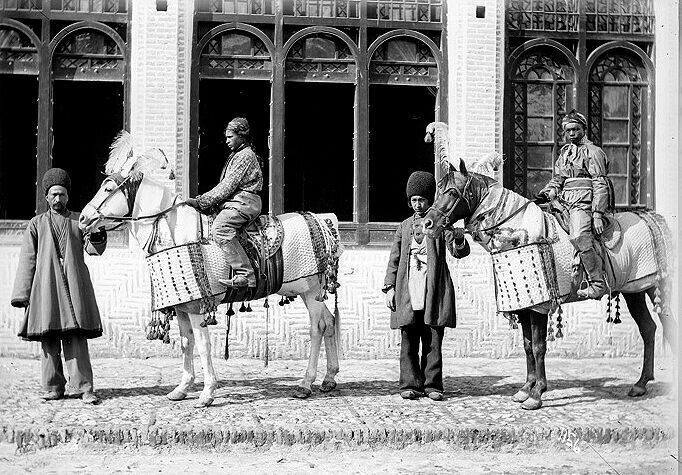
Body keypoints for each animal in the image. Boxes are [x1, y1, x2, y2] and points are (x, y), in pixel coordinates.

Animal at [79, 137, 340, 406]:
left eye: (108, 189)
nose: (83, 218)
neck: (176, 232)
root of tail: (324, 221)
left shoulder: (197, 306)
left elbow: (203, 345)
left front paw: (207, 393)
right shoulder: (182, 306)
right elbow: (187, 343)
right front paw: (182, 389)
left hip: (311, 290)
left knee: (318, 327)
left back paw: (306, 384)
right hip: (312, 292)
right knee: (330, 321)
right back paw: (329, 378)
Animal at [420, 124, 676, 410]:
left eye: (453, 192)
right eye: (438, 191)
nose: (428, 223)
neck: (520, 231)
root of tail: (653, 216)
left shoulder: (539, 306)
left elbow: (539, 346)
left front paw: (537, 394)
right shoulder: (524, 306)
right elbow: (527, 345)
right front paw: (526, 389)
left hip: (655, 286)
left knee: (667, 325)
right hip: (635, 290)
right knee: (649, 329)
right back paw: (640, 384)